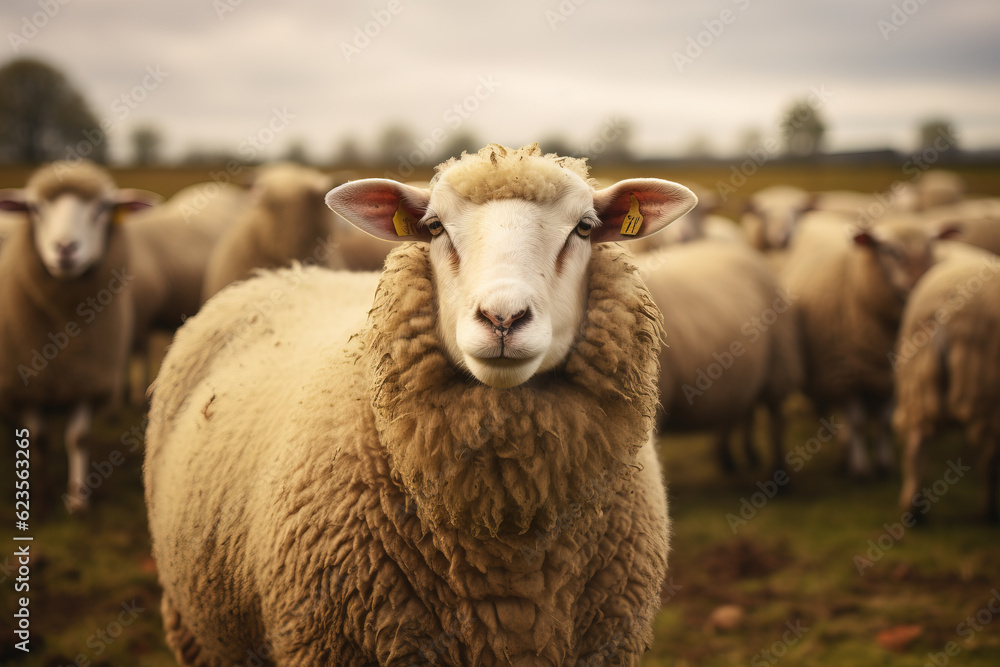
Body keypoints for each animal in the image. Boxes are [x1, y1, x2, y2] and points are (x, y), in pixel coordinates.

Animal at [0, 160, 155, 513]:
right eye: (35, 209)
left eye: (101, 208)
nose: (65, 248)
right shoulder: (28, 383)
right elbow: (38, 437)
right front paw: (40, 496)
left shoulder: (87, 378)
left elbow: (78, 438)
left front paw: (77, 501)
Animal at [781, 212, 956, 478]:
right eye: (889, 250)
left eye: (931, 246)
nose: (919, 281)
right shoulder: (848, 375)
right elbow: (858, 423)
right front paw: (861, 468)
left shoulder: (892, 378)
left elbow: (884, 423)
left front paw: (883, 464)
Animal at [893, 242, 1000, 521]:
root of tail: (948, 310)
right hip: (982, 385)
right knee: (988, 455)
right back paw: (987, 510)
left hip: (918, 380)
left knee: (916, 448)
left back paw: (914, 512)